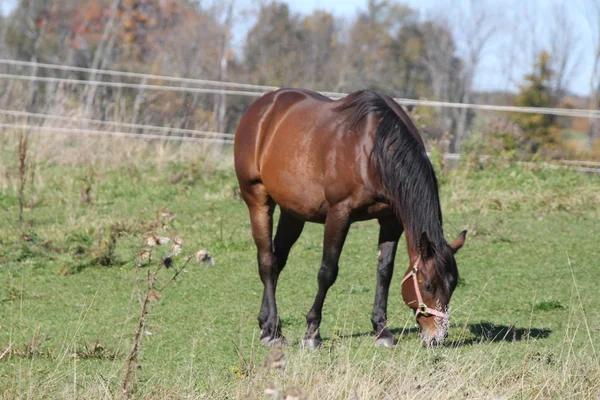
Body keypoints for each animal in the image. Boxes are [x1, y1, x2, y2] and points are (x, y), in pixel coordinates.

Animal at [233, 89, 464, 348]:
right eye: (428, 285)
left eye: (453, 285)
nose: (437, 338)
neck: (372, 151)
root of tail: (261, 107)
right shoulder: (339, 214)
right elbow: (327, 272)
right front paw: (312, 333)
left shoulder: (391, 221)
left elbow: (385, 272)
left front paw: (382, 330)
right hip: (257, 200)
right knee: (266, 261)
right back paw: (273, 331)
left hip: (292, 212)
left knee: (277, 260)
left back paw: (266, 324)